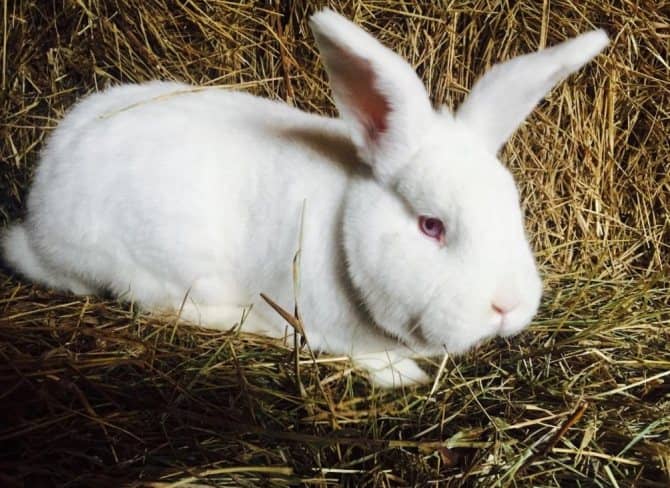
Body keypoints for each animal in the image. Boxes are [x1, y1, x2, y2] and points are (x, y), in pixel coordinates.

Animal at [1, 9, 608, 386]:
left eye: (513, 211)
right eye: (430, 225)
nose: (507, 306)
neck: (346, 228)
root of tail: (39, 222)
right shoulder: (337, 331)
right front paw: (402, 374)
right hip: (162, 269)